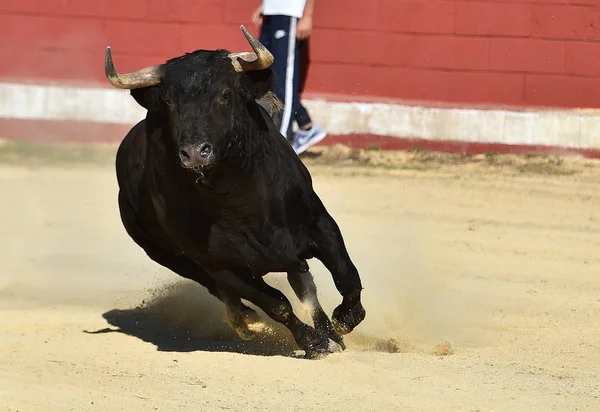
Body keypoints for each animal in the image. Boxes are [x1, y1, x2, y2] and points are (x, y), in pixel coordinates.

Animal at [105, 26, 364, 360]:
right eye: (168, 101)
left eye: (225, 95)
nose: (195, 152)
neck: (238, 197)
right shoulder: (221, 264)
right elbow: (277, 304)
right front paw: (315, 342)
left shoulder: (318, 222)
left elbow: (344, 273)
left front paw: (342, 323)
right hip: (170, 257)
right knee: (225, 290)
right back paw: (244, 321)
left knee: (303, 281)